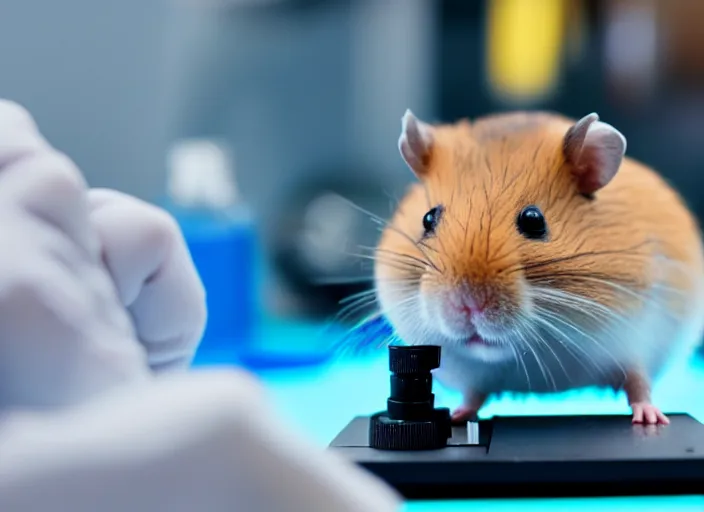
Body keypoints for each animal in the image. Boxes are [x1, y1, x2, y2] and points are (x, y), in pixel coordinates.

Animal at [376, 110, 704, 426]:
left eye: (534, 220)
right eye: (428, 219)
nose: (467, 306)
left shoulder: (637, 340)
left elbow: (638, 383)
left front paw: (651, 419)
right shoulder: (473, 379)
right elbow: (473, 396)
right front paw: (456, 417)